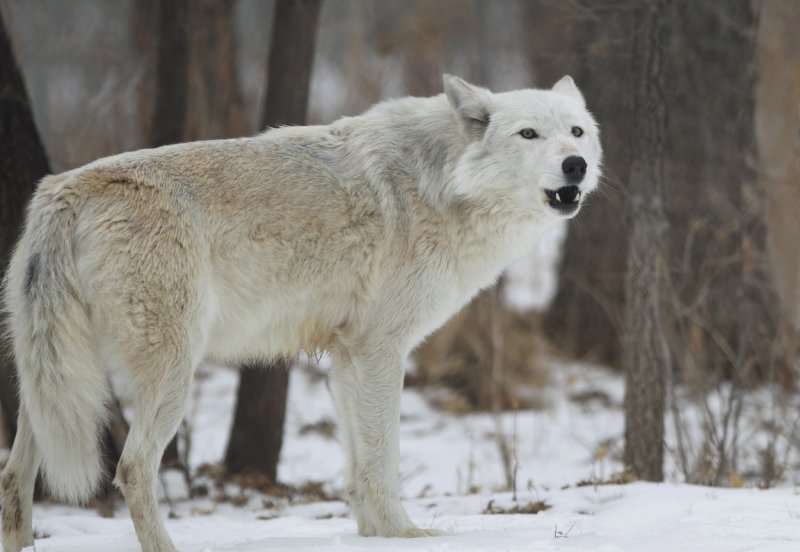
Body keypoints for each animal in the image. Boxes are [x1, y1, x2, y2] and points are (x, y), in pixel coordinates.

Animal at [0, 74, 600, 552]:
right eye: (528, 134)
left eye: (575, 132)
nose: (577, 165)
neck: (444, 181)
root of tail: (63, 190)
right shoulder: (382, 350)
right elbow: (383, 460)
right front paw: (406, 535)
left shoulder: (348, 357)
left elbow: (358, 466)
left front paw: (374, 536)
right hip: (169, 378)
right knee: (131, 467)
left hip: (50, 387)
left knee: (13, 475)